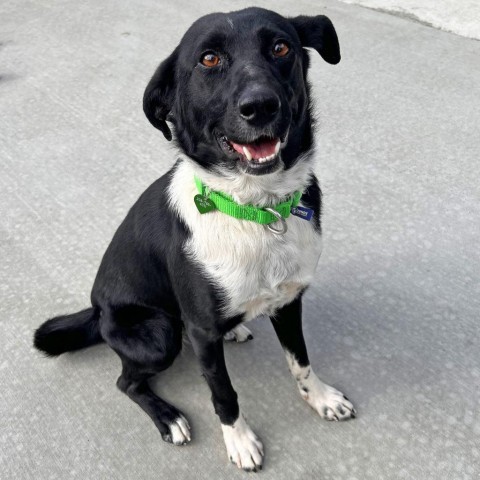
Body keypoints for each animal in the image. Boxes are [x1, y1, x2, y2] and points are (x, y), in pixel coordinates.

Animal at [33, 7, 354, 472]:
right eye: (208, 59)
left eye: (281, 47)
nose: (261, 105)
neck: (255, 210)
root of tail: (97, 311)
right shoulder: (203, 333)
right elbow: (223, 392)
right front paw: (239, 440)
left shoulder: (289, 301)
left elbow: (301, 361)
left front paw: (322, 398)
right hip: (159, 333)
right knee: (126, 381)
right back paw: (169, 418)